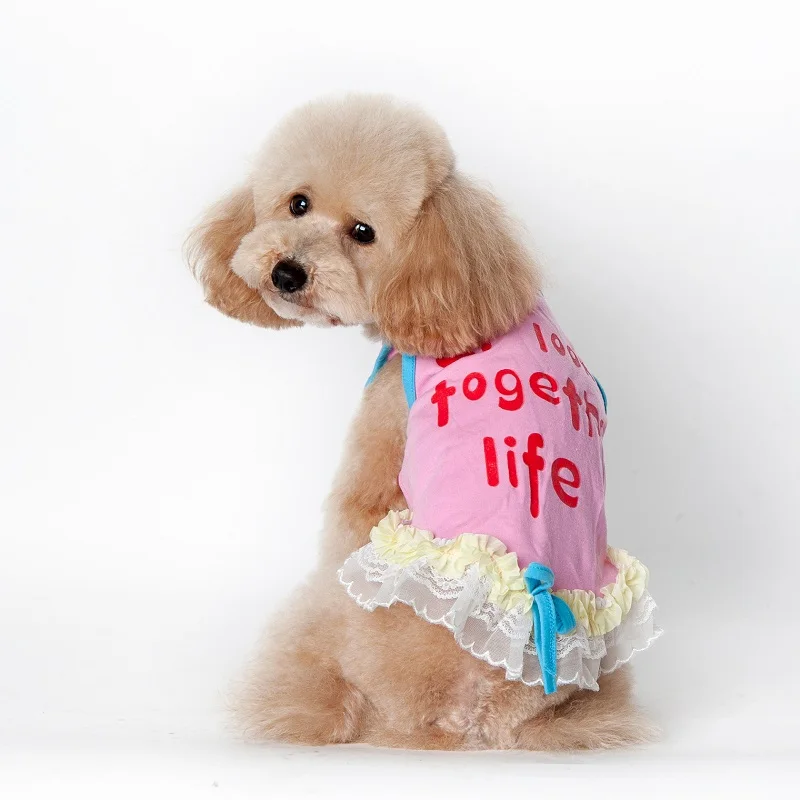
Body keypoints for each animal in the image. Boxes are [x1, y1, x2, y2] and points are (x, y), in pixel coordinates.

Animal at [187, 94, 658, 750]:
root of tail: (479, 720)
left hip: (332, 615)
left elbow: (352, 507)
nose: (286, 272)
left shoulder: (380, 447)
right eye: (297, 203)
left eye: (363, 233)